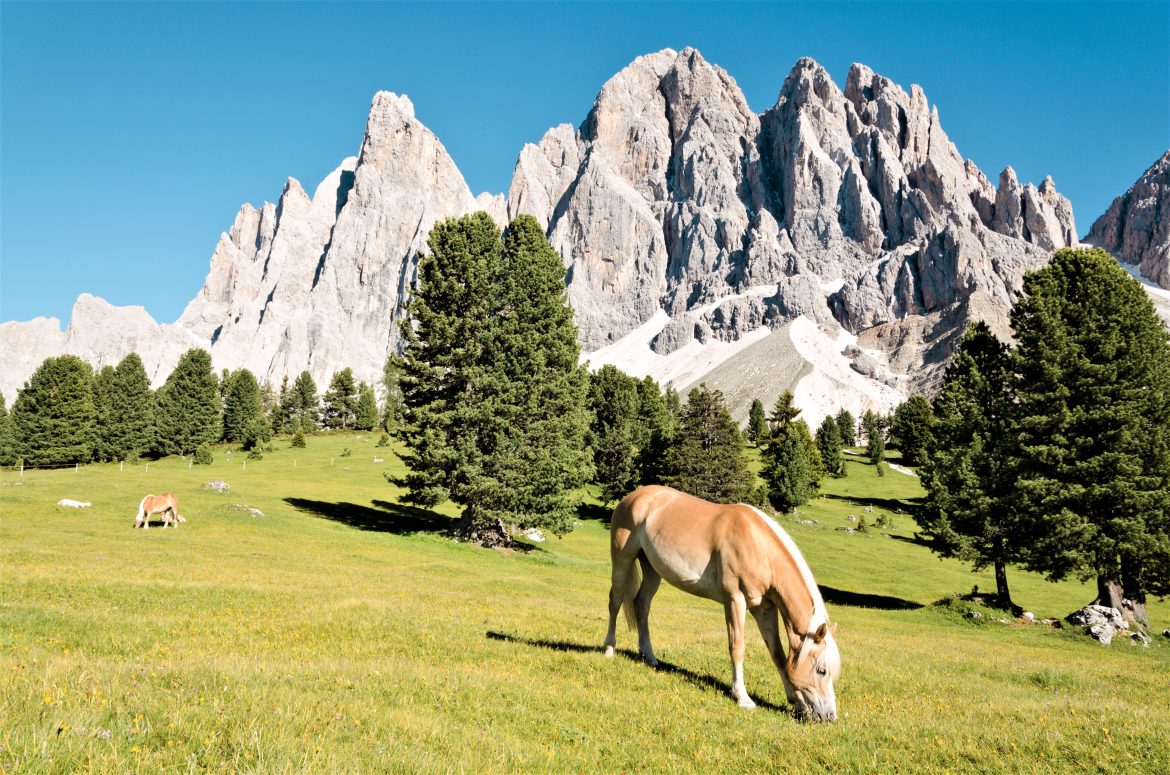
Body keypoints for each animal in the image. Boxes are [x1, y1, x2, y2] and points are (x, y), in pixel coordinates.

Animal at [603, 487, 842, 721]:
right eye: (821, 670)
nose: (829, 716)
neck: (758, 547)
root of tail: (634, 496)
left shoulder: (764, 608)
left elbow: (778, 654)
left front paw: (797, 704)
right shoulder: (735, 600)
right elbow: (737, 647)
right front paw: (743, 698)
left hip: (652, 570)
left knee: (642, 605)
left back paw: (649, 656)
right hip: (622, 560)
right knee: (615, 602)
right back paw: (609, 649)